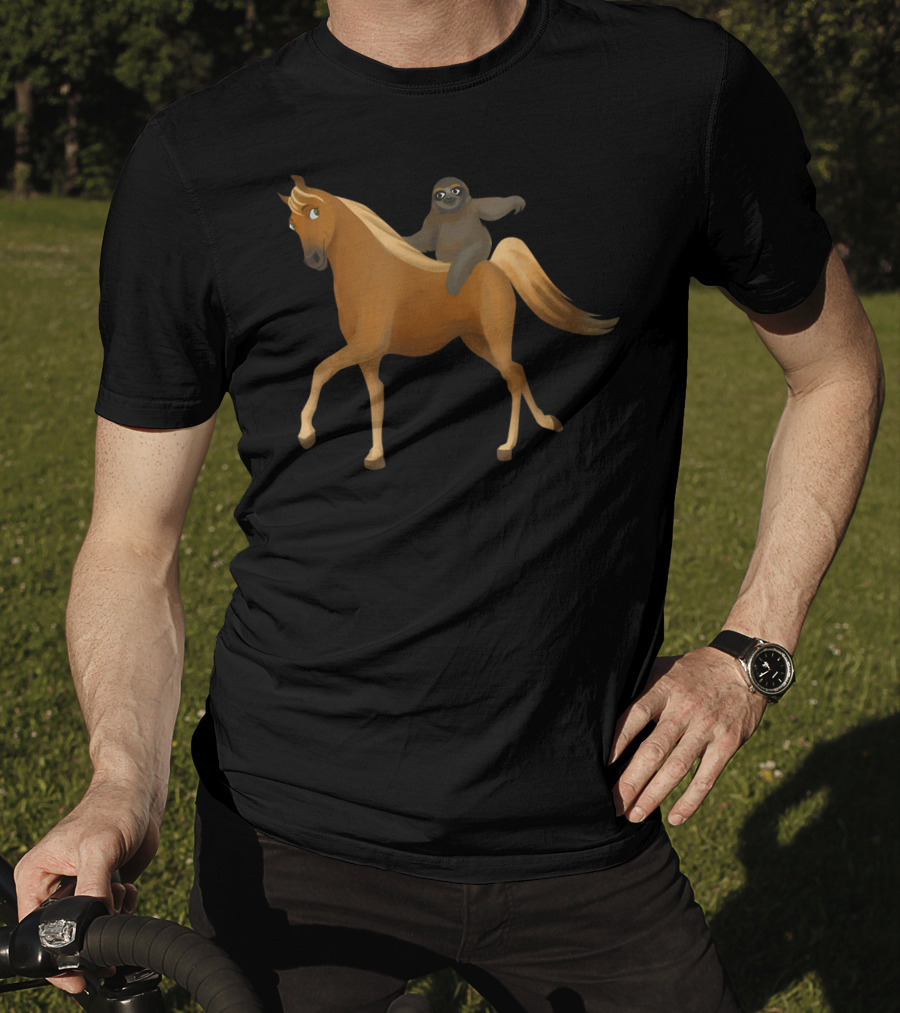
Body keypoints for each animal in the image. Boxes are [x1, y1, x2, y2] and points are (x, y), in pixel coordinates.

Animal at [280, 175, 617, 470]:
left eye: (315, 211)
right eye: (291, 224)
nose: (313, 260)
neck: (370, 272)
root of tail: (496, 267)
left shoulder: (364, 346)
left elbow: (320, 371)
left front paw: (306, 434)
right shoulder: (368, 356)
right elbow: (375, 395)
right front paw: (375, 456)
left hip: (496, 335)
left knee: (512, 377)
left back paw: (507, 447)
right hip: (478, 341)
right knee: (518, 372)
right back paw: (546, 423)